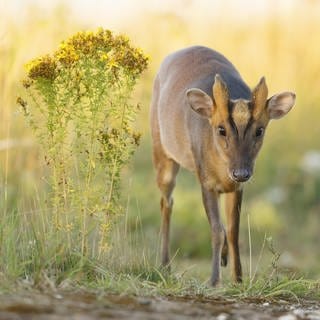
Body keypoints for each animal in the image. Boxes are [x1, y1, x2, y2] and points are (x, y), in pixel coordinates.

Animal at [150, 45, 296, 284]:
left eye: (260, 130)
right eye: (221, 129)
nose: (241, 172)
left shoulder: (236, 187)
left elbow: (233, 229)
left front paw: (238, 279)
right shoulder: (206, 181)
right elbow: (216, 230)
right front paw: (213, 280)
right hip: (161, 150)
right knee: (166, 201)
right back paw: (165, 266)